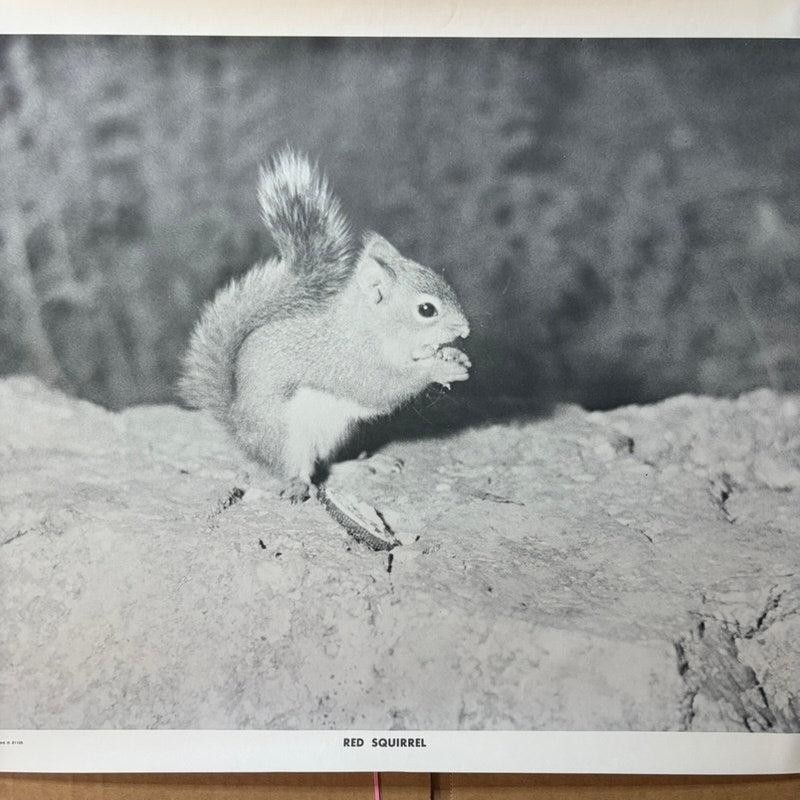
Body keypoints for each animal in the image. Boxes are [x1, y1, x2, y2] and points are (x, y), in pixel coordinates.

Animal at [179, 148, 471, 522]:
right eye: (426, 310)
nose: (466, 329)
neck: (371, 328)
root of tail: (242, 432)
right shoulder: (349, 363)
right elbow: (384, 387)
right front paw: (440, 368)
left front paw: (452, 355)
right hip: (288, 435)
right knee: (299, 468)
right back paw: (299, 485)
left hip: (334, 432)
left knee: (326, 465)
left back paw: (362, 465)